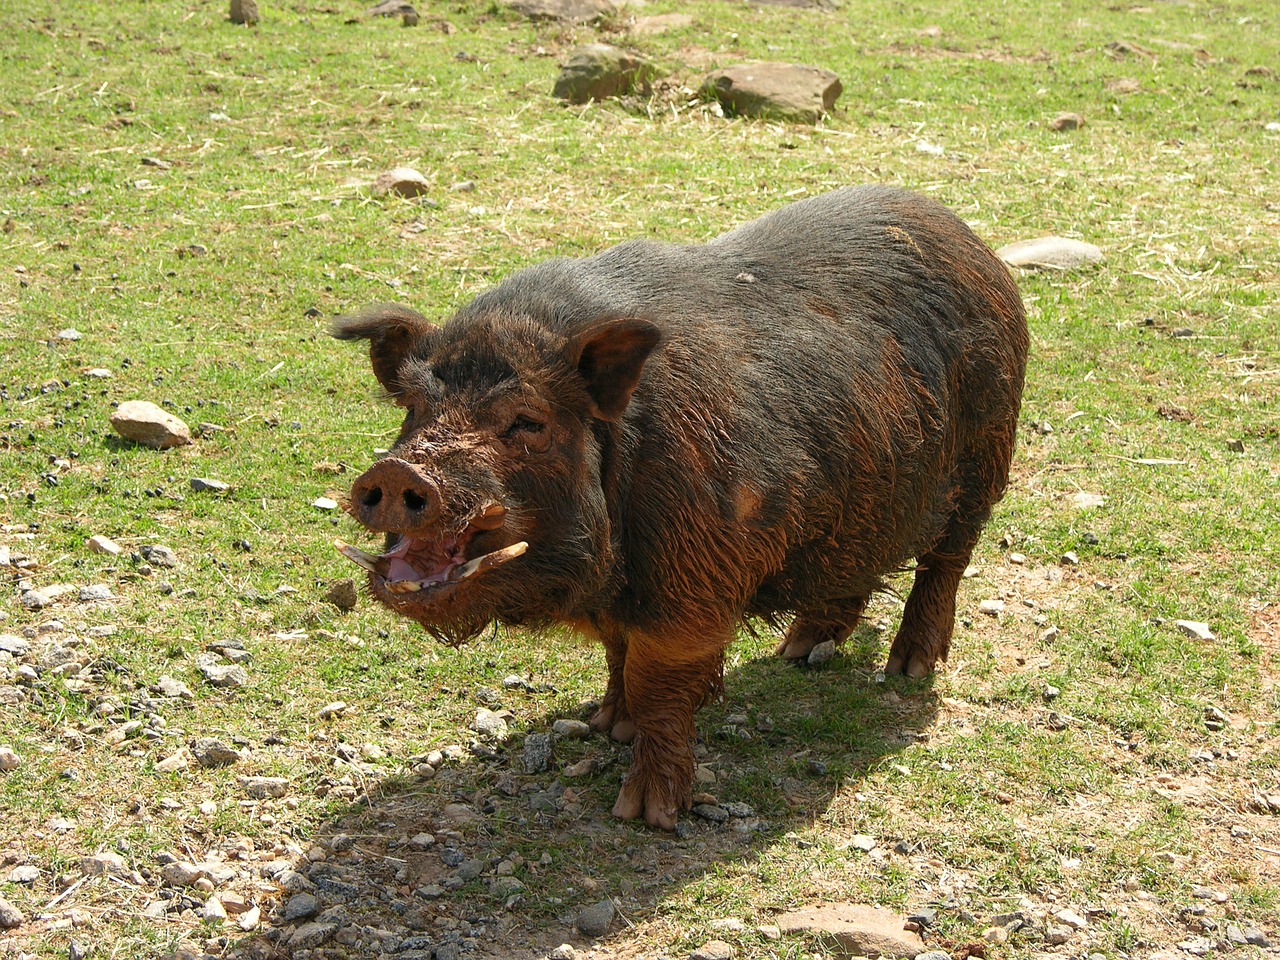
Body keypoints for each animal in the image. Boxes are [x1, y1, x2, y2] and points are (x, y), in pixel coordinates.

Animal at [332, 184, 1029, 829]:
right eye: (414, 409)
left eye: (527, 421)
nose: (398, 472)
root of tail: (972, 242)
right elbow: (617, 652)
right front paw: (605, 724)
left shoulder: (694, 576)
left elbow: (660, 683)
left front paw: (646, 814)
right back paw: (797, 652)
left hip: (987, 457)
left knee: (946, 562)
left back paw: (909, 669)